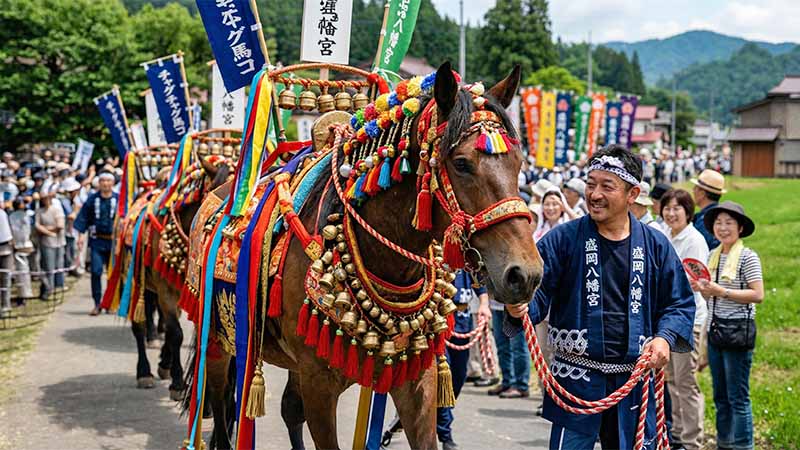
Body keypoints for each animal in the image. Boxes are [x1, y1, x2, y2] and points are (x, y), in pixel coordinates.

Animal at [186, 62, 543, 450]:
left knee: (287, 410)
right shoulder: (319, 384)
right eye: (462, 163)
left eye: (519, 162)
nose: (525, 274)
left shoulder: (417, 380)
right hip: (218, 333)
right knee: (220, 397)